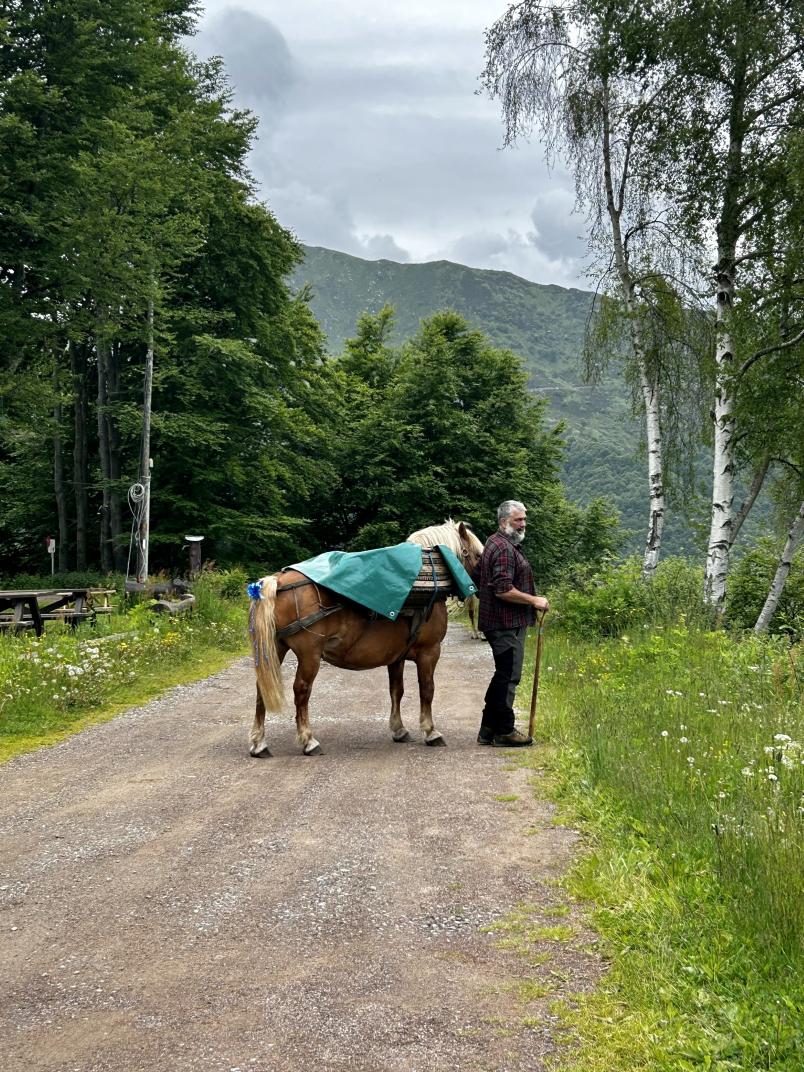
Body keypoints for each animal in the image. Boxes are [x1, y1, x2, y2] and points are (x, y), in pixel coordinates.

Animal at [248, 516, 482, 754]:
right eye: (478, 555)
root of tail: (277, 581)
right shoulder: (430, 651)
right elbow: (427, 689)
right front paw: (430, 731)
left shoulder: (396, 656)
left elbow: (396, 690)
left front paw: (399, 729)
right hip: (309, 655)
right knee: (301, 691)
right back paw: (308, 740)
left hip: (275, 649)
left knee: (261, 689)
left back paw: (259, 743)